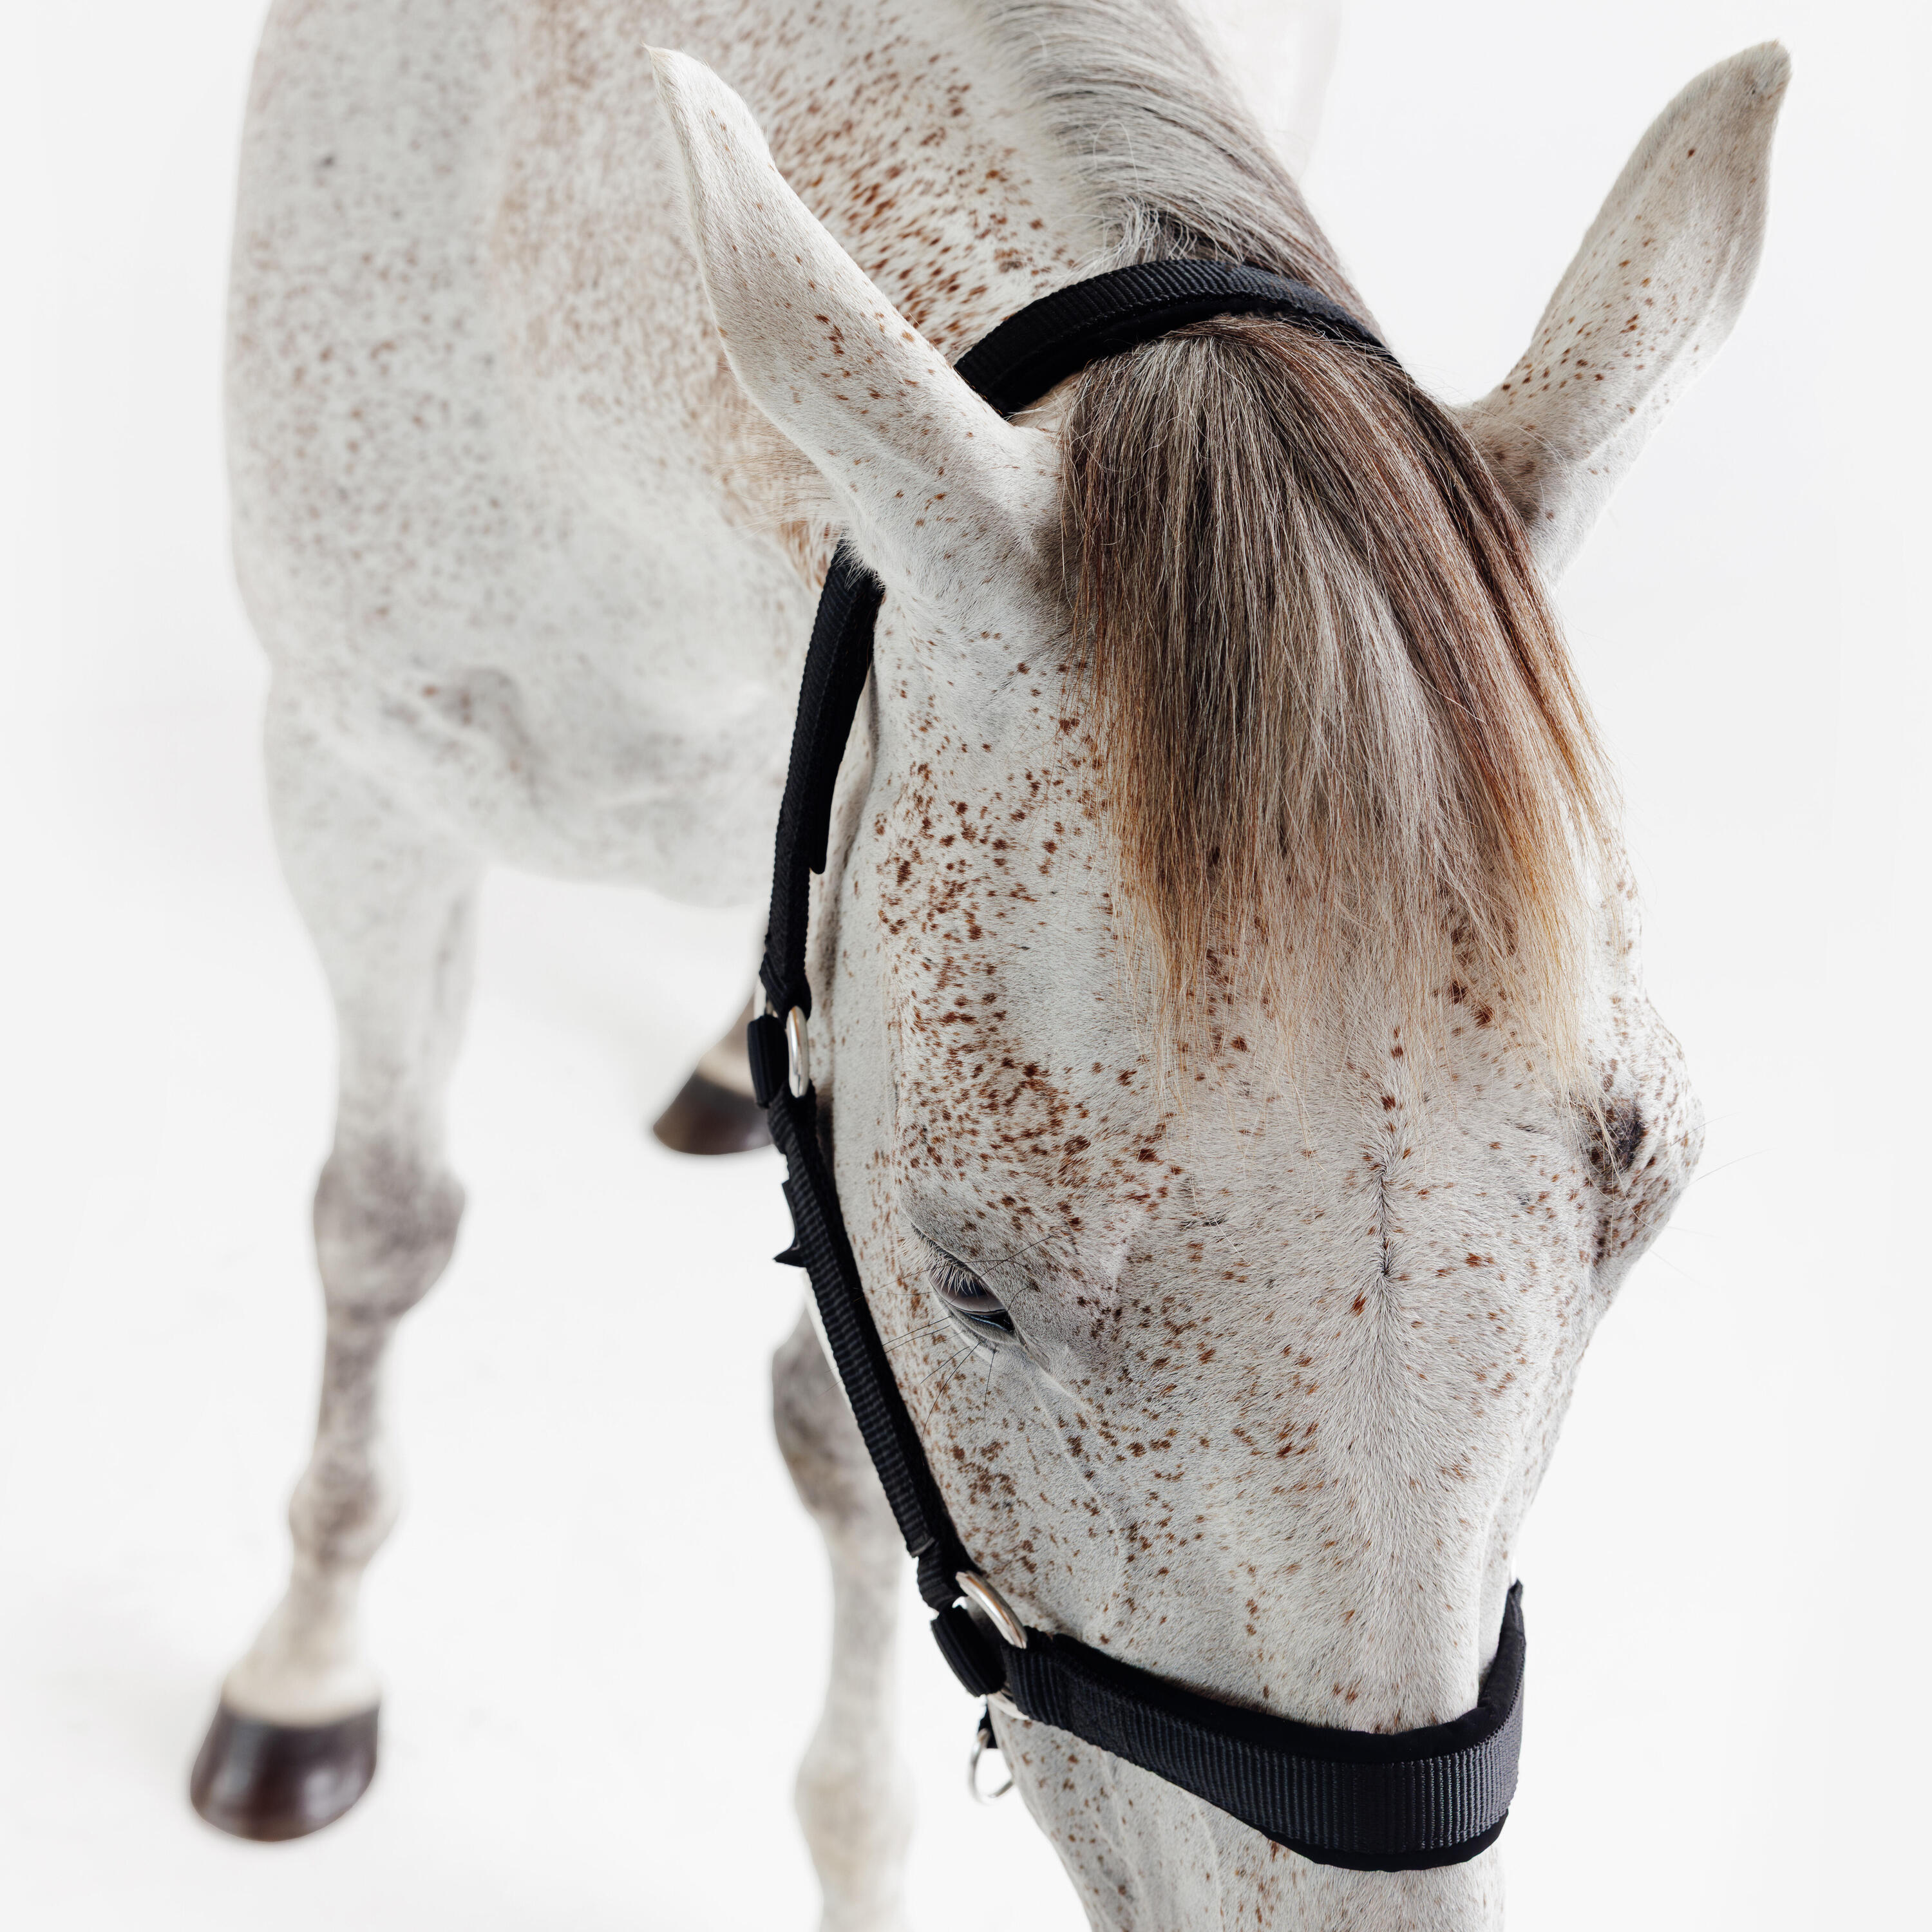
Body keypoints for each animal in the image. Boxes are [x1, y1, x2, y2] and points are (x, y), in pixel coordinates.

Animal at [190, 3, 1787, 1925]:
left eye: (1651, 1210)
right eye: (970, 1288)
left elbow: (825, 1419)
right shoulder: (350, 785)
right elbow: (381, 1229)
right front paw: (305, 1669)